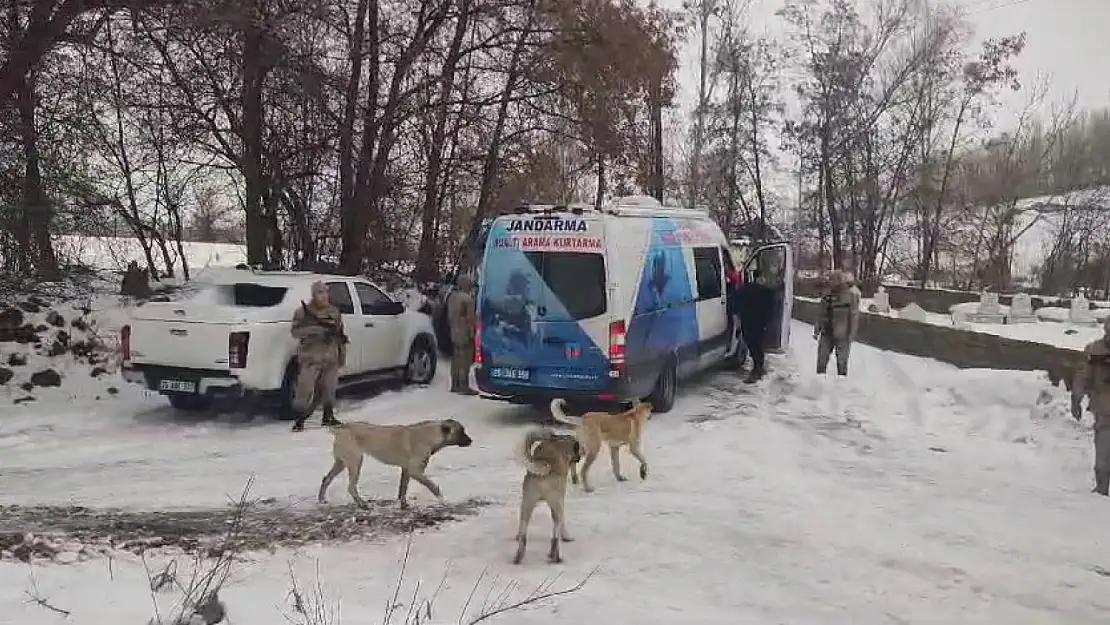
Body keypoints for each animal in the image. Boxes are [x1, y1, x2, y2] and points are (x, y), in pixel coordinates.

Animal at [319, 417, 470, 510]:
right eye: (461, 432)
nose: (471, 441)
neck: (430, 435)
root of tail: (341, 428)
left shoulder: (406, 470)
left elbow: (403, 489)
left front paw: (403, 505)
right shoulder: (415, 471)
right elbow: (432, 486)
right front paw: (442, 499)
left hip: (341, 463)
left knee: (326, 478)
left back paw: (322, 500)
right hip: (355, 463)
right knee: (351, 487)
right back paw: (363, 505)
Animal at [510, 428, 581, 563]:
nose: (579, 458)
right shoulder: (560, 501)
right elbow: (562, 524)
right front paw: (566, 537)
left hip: (527, 503)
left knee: (523, 533)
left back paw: (518, 556)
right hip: (556, 504)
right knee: (555, 535)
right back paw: (556, 556)